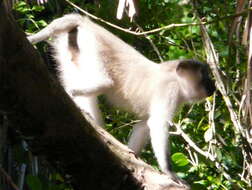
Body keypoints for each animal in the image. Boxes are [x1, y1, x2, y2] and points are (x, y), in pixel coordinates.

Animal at [28, 14, 217, 178]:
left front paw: (133, 158)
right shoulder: (170, 90)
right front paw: (169, 172)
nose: (212, 86)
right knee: (104, 82)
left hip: (72, 48)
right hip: (92, 44)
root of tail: (87, 23)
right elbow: (156, 124)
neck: (174, 76)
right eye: (204, 77)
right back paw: (71, 93)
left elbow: (144, 125)